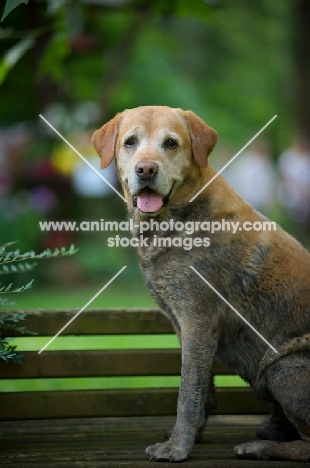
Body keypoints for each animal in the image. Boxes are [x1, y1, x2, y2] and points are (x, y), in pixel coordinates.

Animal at [92, 105, 310, 460]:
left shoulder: (198, 320)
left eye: (170, 143)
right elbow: (201, 388)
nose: (146, 169)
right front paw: (190, 436)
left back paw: (260, 446)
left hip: (283, 362)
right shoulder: (186, 326)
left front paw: (176, 448)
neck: (176, 219)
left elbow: (186, 392)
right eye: (130, 142)